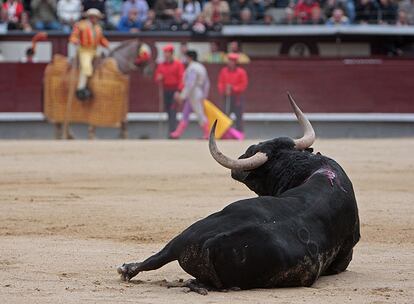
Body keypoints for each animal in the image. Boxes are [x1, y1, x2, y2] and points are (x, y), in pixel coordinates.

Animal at [117, 94, 360, 294]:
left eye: (252, 149)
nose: (240, 161)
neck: (308, 168)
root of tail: (211, 241)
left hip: (187, 236)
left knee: (161, 260)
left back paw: (130, 270)